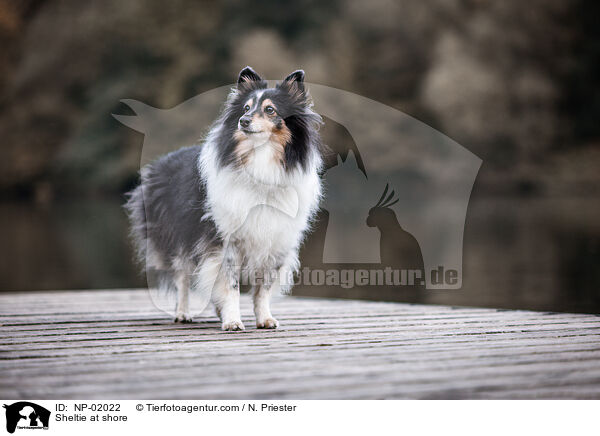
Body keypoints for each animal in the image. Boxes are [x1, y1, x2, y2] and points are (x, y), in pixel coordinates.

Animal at [124, 65, 324, 330]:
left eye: (270, 110)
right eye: (246, 108)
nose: (243, 121)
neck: (261, 163)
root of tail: (159, 163)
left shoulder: (275, 240)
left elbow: (263, 288)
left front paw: (264, 319)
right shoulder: (225, 241)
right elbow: (230, 286)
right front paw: (232, 321)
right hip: (178, 238)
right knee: (182, 279)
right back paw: (183, 313)